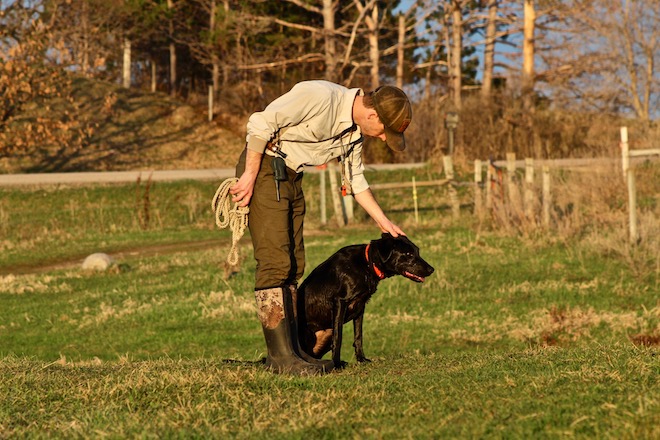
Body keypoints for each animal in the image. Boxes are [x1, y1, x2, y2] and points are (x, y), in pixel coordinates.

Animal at [298, 234, 434, 368]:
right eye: (408, 254)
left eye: (417, 251)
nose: (431, 269)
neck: (367, 264)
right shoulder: (340, 302)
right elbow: (338, 337)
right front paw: (336, 363)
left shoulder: (360, 306)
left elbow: (358, 336)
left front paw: (361, 359)